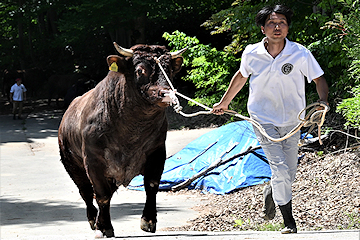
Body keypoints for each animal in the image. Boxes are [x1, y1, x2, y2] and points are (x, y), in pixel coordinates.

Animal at [58, 43, 186, 238]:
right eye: (140, 70)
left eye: (170, 70)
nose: (165, 93)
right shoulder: (93, 162)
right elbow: (102, 195)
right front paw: (104, 227)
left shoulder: (157, 153)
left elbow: (151, 186)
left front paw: (148, 220)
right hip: (72, 165)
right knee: (86, 192)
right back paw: (93, 219)